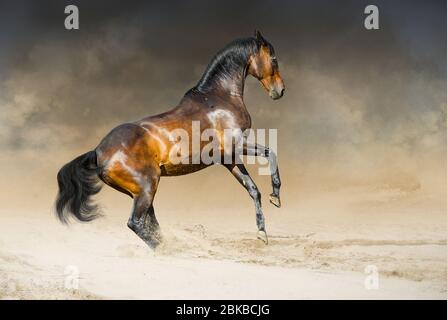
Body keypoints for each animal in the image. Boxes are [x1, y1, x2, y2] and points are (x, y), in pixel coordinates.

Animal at [56, 31, 286, 249]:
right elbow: (271, 153)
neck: (220, 98)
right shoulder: (237, 145)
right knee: (136, 223)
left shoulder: (227, 158)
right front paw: (276, 196)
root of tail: (98, 151)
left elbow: (253, 189)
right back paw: (166, 250)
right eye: (273, 58)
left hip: (139, 192)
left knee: (150, 222)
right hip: (147, 187)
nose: (280, 91)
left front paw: (262, 233)